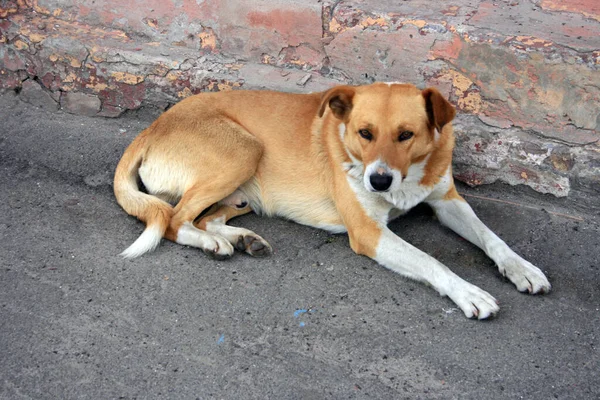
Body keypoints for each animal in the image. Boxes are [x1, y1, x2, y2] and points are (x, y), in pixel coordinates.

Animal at [115, 83, 552, 320]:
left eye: (406, 135)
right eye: (364, 132)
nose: (378, 181)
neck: (406, 176)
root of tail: (151, 127)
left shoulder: (448, 201)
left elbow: (492, 238)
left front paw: (523, 269)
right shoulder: (368, 232)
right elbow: (431, 260)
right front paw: (469, 293)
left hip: (242, 190)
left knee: (203, 218)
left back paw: (241, 239)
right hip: (244, 151)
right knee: (174, 221)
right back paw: (213, 244)